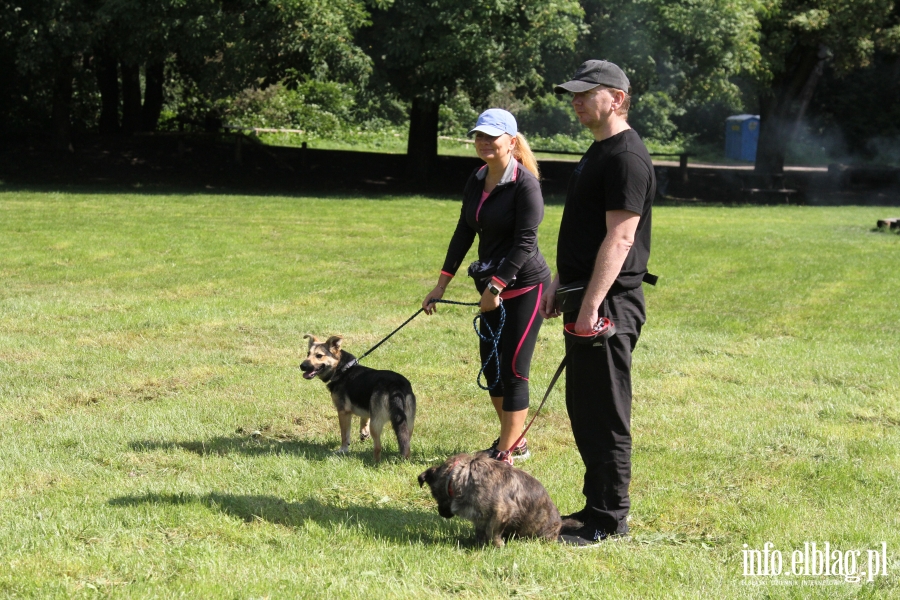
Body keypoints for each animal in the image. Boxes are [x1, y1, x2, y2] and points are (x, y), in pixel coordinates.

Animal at [416, 452, 576, 548]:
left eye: (434, 495)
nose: (441, 514)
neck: (461, 474)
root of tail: (559, 524)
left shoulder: (502, 512)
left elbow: (492, 531)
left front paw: (497, 547)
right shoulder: (480, 518)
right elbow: (481, 531)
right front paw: (478, 544)